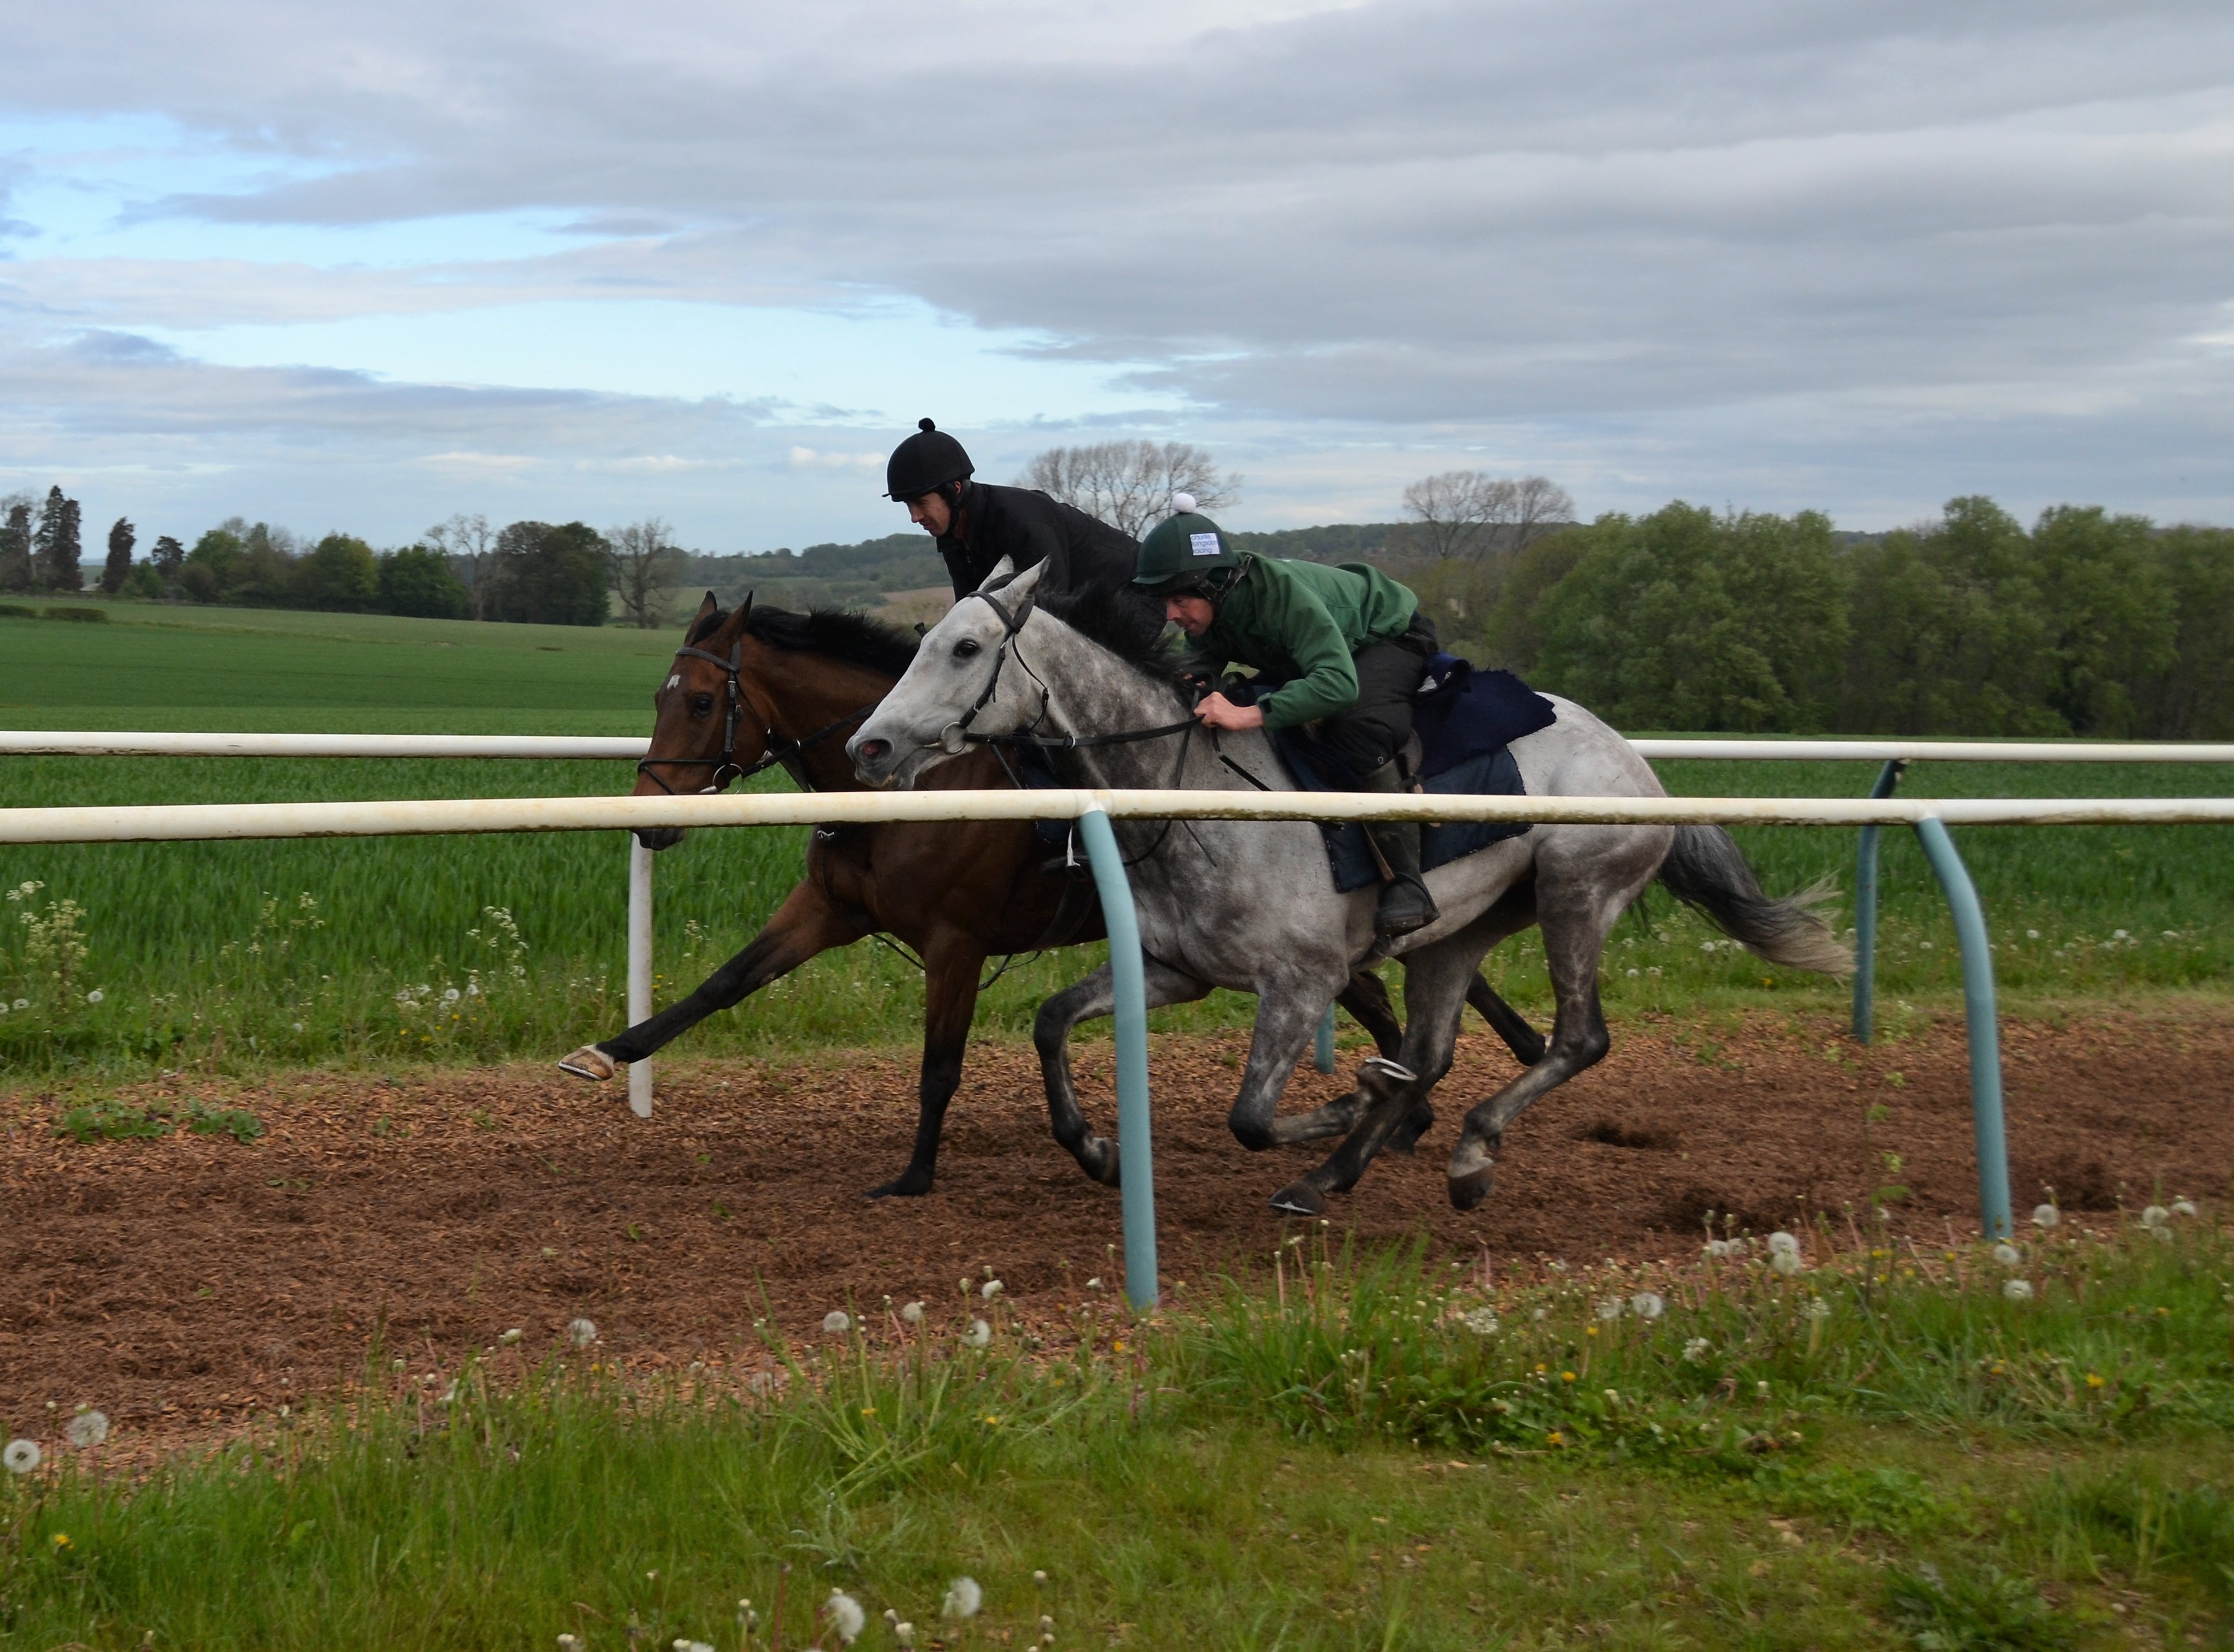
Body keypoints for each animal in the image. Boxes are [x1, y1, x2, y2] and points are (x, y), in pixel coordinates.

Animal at [558, 594, 1545, 1196]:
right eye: (658, 695)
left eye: (695, 701)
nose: (649, 819)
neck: (914, 788)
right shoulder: (830, 909)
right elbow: (720, 985)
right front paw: (605, 1053)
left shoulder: (956, 938)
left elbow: (941, 1064)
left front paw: (915, 1175)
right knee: (1385, 999)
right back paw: (1407, 1111)